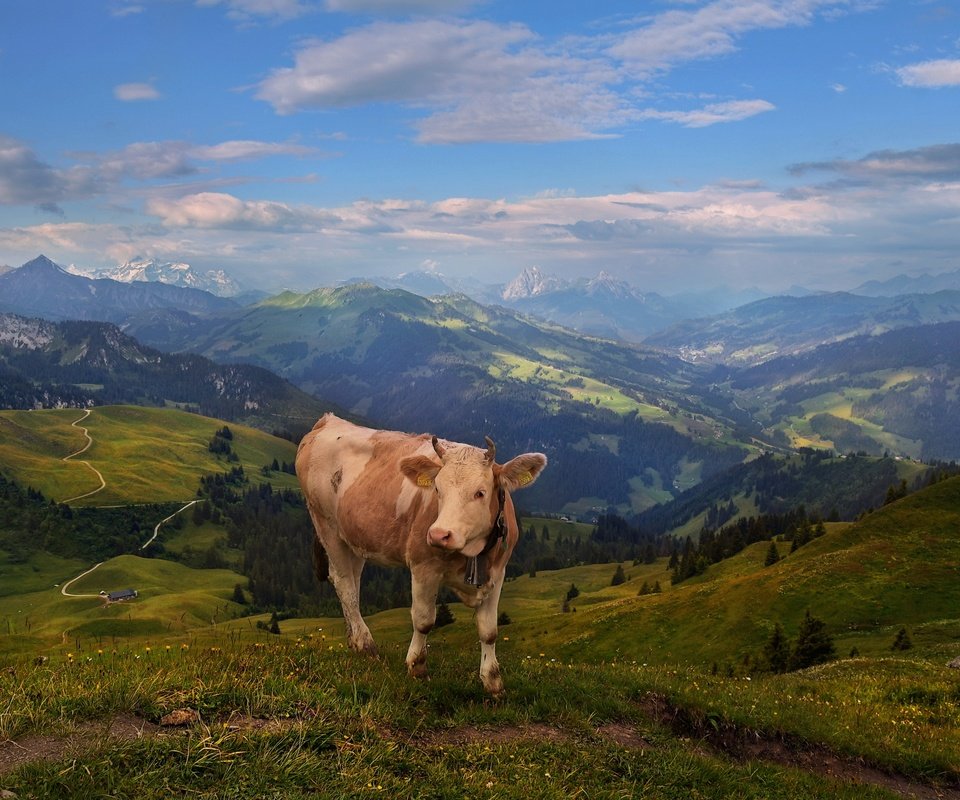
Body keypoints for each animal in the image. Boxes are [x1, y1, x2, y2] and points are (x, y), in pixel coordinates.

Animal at [292, 412, 548, 692]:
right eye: (437, 489)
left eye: (480, 492)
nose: (439, 534)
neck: (472, 552)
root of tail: (328, 421)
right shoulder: (423, 566)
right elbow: (424, 620)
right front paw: (417, 668)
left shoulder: (498, 572)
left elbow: (489, 630)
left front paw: (493, 682)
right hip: (326, 524)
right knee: (344, 583)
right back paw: (365, 645)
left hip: (354, 537)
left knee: (353, 583)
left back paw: (353, 640)